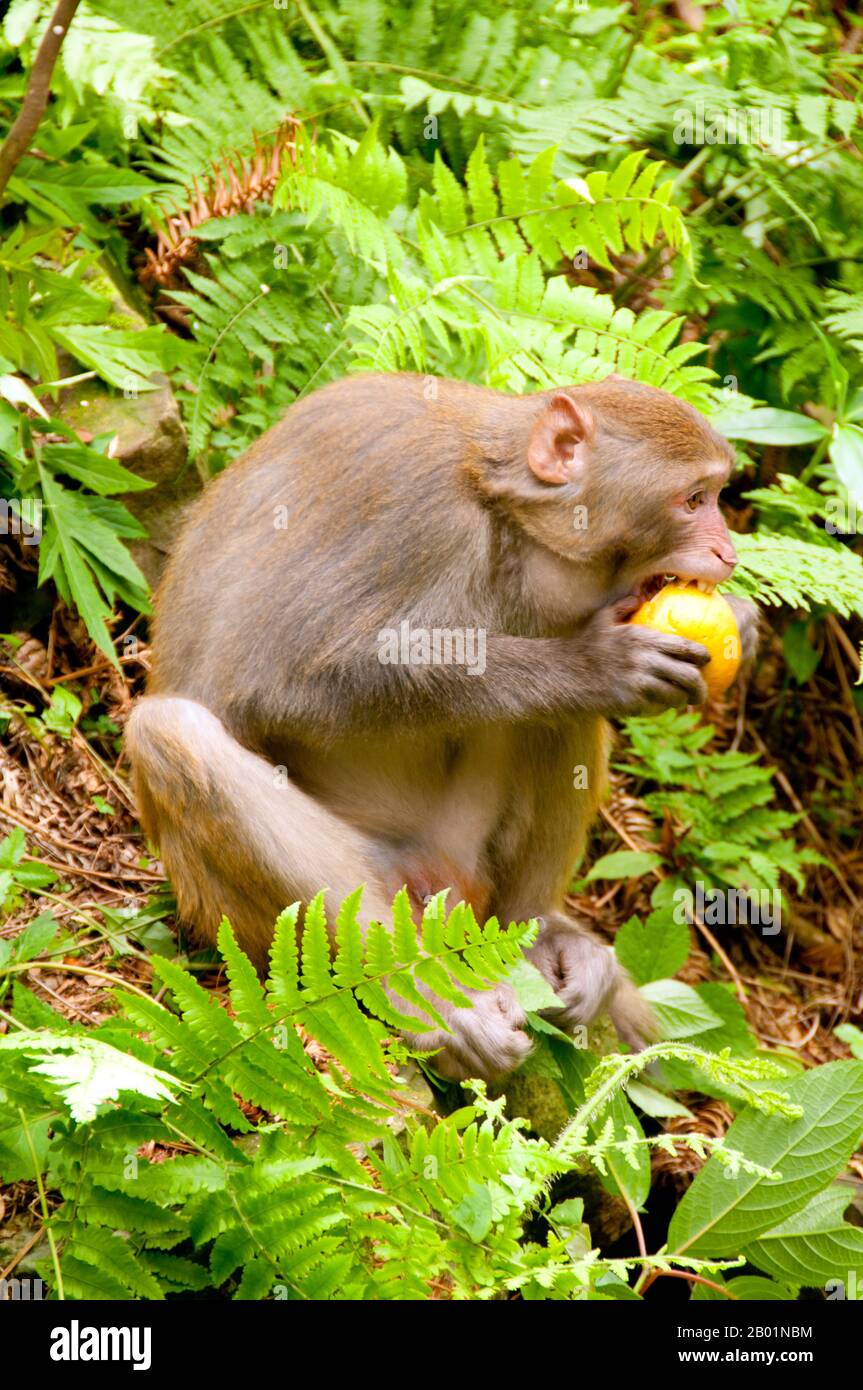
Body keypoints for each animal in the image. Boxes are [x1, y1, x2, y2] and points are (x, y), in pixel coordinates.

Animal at [126, 373, 758, 1082]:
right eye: (694, 499)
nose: (729, 553)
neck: (496, 497)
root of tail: (442, 887)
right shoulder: (418, 517)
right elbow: (286, 684)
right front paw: (594, 665)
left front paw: (742, 621)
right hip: (271, 911)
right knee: (171, 734)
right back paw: (422, 1000)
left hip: (464, 858)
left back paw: (539, 934)